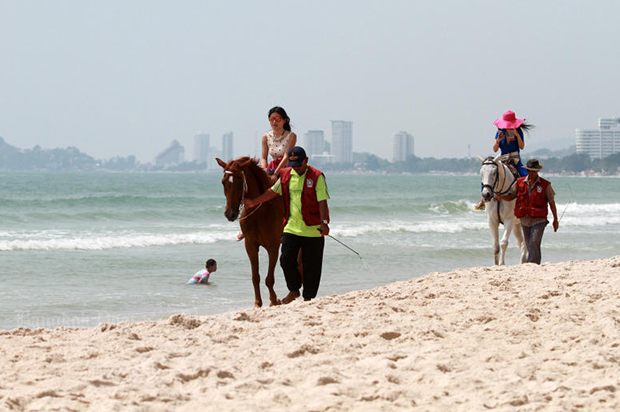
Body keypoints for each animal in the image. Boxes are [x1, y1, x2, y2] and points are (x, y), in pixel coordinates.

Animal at [213, 156, 280, 308]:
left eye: (239, 182)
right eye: (223, 182)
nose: (230, 214)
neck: (260, 212)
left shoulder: (273, 247)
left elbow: (270, 278)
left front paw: (274, 300)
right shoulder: (250, 246)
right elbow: (255, 277)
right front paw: (258, 303)